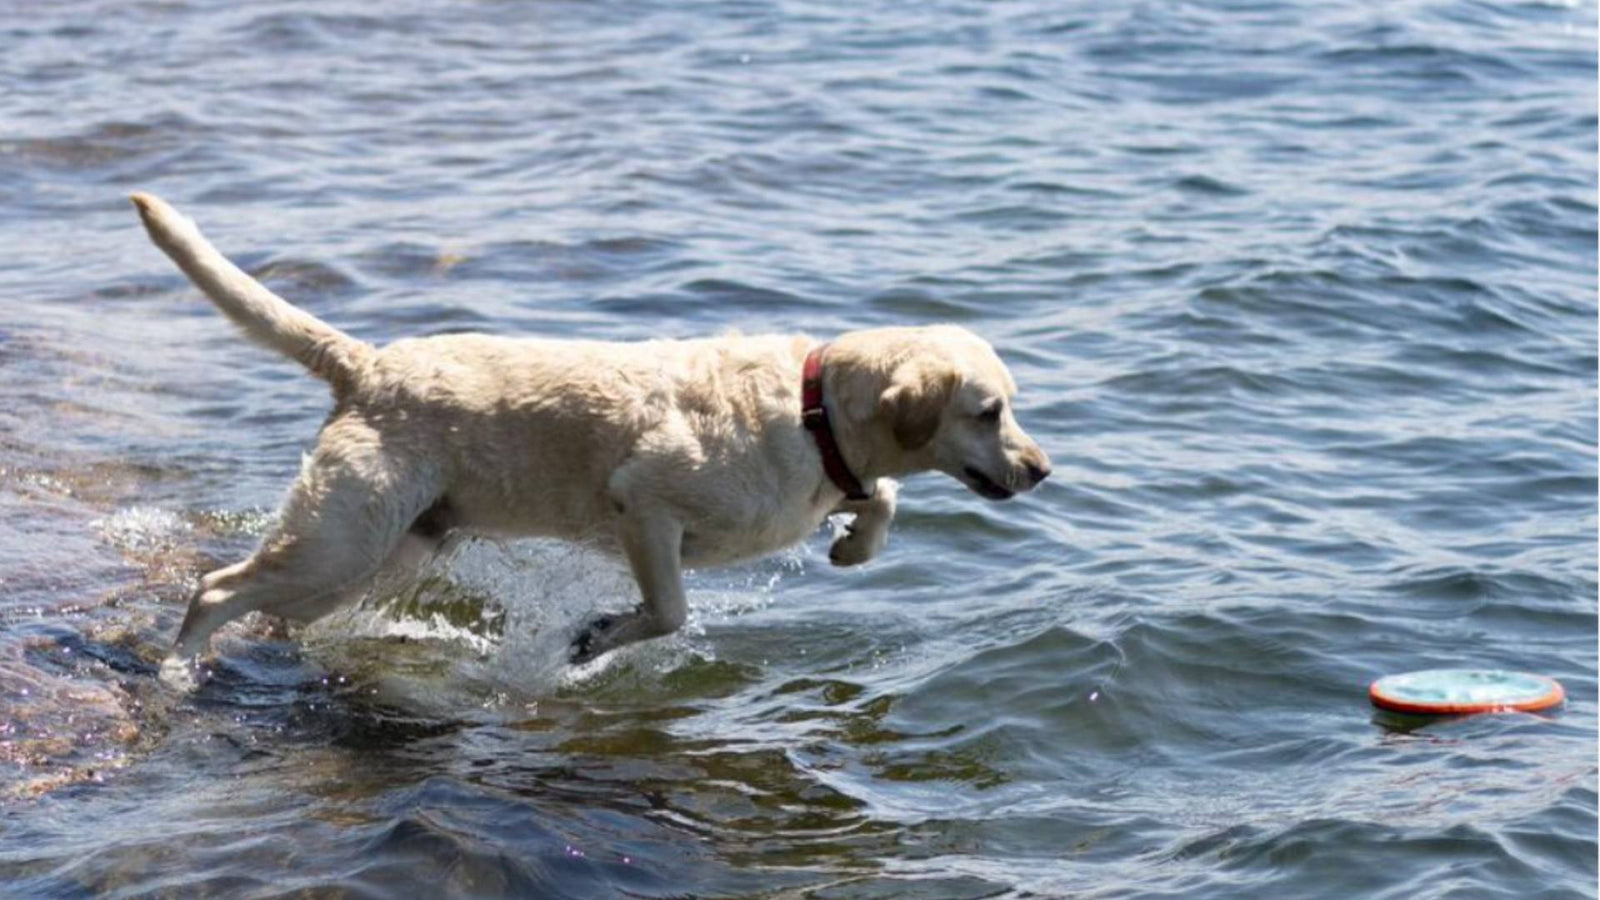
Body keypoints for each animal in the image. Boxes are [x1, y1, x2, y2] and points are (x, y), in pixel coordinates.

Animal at [128, 190, 1049, 666]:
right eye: (989, 412)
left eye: (1011, 402)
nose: (1043, 469)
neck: (811, 410)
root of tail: (367, 363)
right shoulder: (645, 506)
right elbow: (669, 609)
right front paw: (597, 636)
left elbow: (883, 494)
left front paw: (856, 545)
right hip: (343, 537)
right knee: (216, 588)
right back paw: (176, 671)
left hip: (387, 551)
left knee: (280, 610)